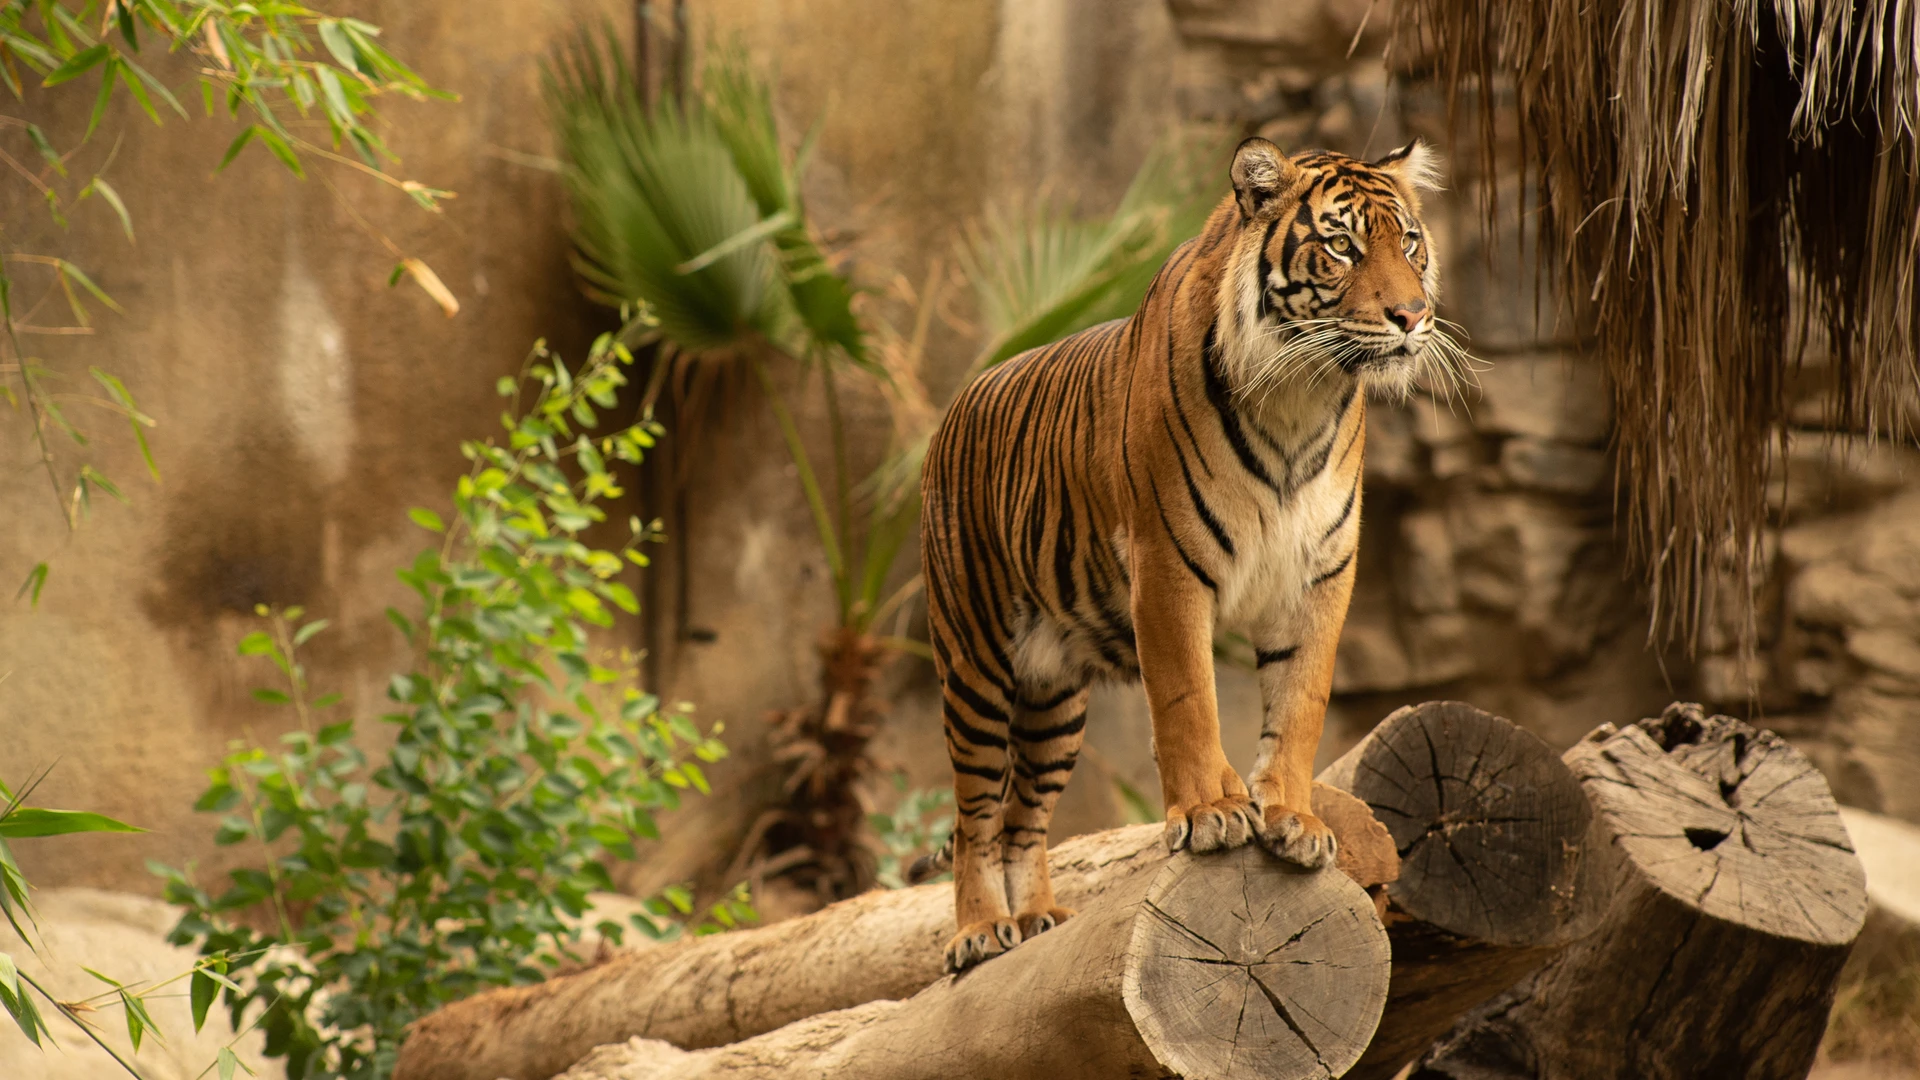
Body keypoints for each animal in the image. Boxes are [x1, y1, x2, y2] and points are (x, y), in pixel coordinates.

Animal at [910, 136, 1453, 974]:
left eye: (1412, 243)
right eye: (1341, 247)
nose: (1412, 315)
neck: (1302, 396)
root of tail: (957, 405)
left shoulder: (1319, 576)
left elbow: (1300, 703)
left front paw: (1292, 819)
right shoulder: (1170, 568)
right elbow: (1188, 699)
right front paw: (1211, 812)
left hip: (1054, 703)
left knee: (1022, 817)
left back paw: (1036, 920)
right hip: (975, 664)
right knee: (974, 815)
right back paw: (978, 931)